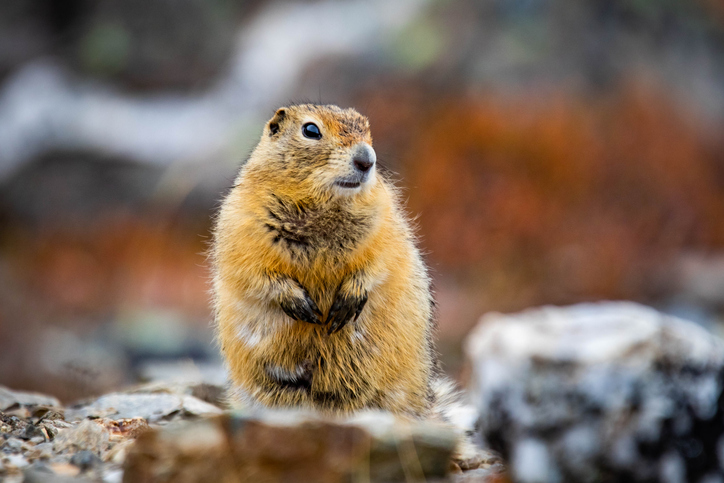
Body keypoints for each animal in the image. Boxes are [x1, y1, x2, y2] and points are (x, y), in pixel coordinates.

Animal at [209, 104, 472, 426]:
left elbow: (380, 262)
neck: (324, 204)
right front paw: (299, 303)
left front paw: (349, 299)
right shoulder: (240, 224)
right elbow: (253, 272)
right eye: (311, 130)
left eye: (367, 129)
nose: (366, 160)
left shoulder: (386, 222)